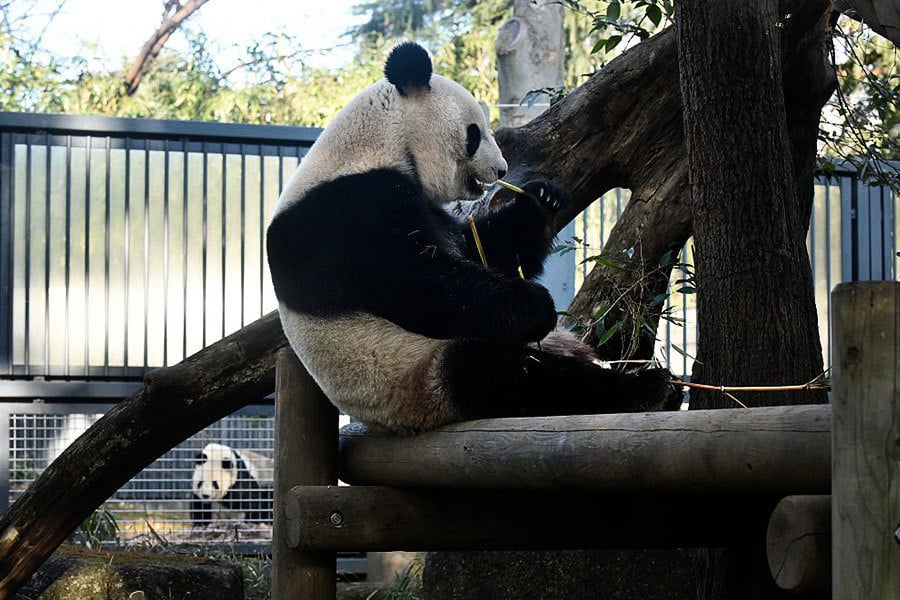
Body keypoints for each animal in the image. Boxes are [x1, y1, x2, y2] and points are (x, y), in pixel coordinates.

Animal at [268, 43, 684, 436]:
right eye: (475, 133)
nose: (501, 170)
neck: (376, 142)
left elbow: (483, 249)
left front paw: (540, 199)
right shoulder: (344, 215)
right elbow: (420, 283)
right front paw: (536, 305)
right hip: (414, 375)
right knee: (510, 374)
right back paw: (647, 388)